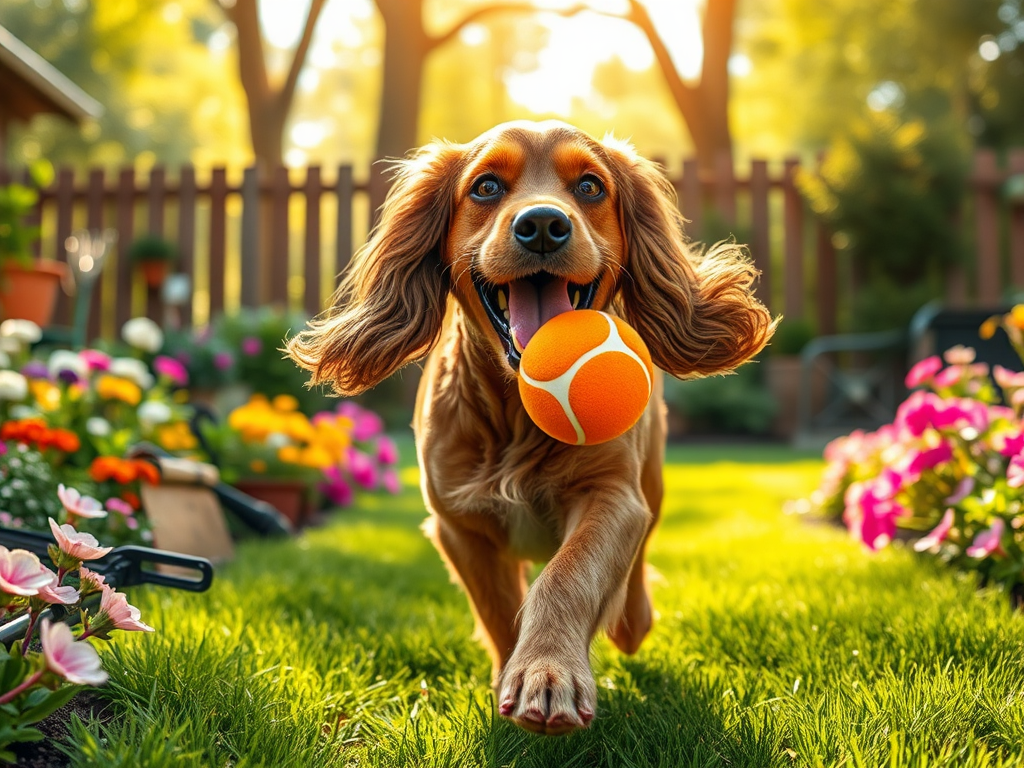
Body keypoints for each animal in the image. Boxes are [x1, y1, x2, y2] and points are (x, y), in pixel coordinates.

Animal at [284, 120, 770, 733]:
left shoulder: (613, 495)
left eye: (589, 187)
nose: (542, 224)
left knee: (634, 578)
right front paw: (515, 673)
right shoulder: (459, 524)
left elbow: (568, 575)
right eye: (487, 187)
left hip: (652, 484)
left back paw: (630, 617)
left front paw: (548, 670)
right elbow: (499, 612)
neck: (519, 413)